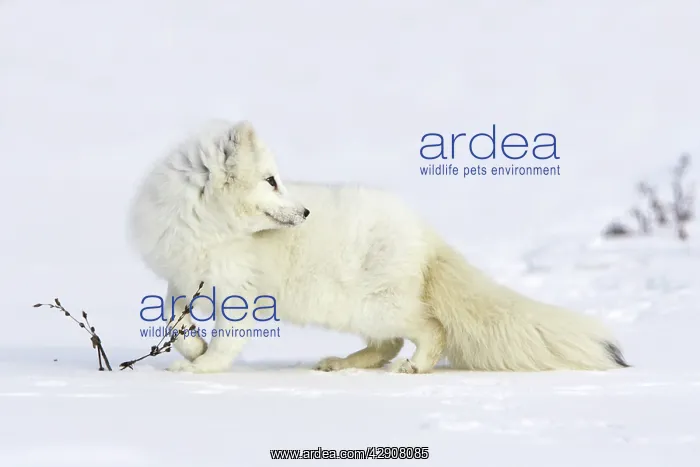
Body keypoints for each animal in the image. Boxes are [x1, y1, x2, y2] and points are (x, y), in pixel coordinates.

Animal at [127, 119, 629, 374]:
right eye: (271, 181)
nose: (305, 213)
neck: (204, 223)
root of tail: (426, 234)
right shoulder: (181, 278)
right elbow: (173, 318)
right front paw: (190, 351)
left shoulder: (240, 293)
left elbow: (226, 341)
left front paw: (201, 369)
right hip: (356, 310)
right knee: (388, 344)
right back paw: (343, 363)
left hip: (370, 306)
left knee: (428, 329)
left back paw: (416, 366)